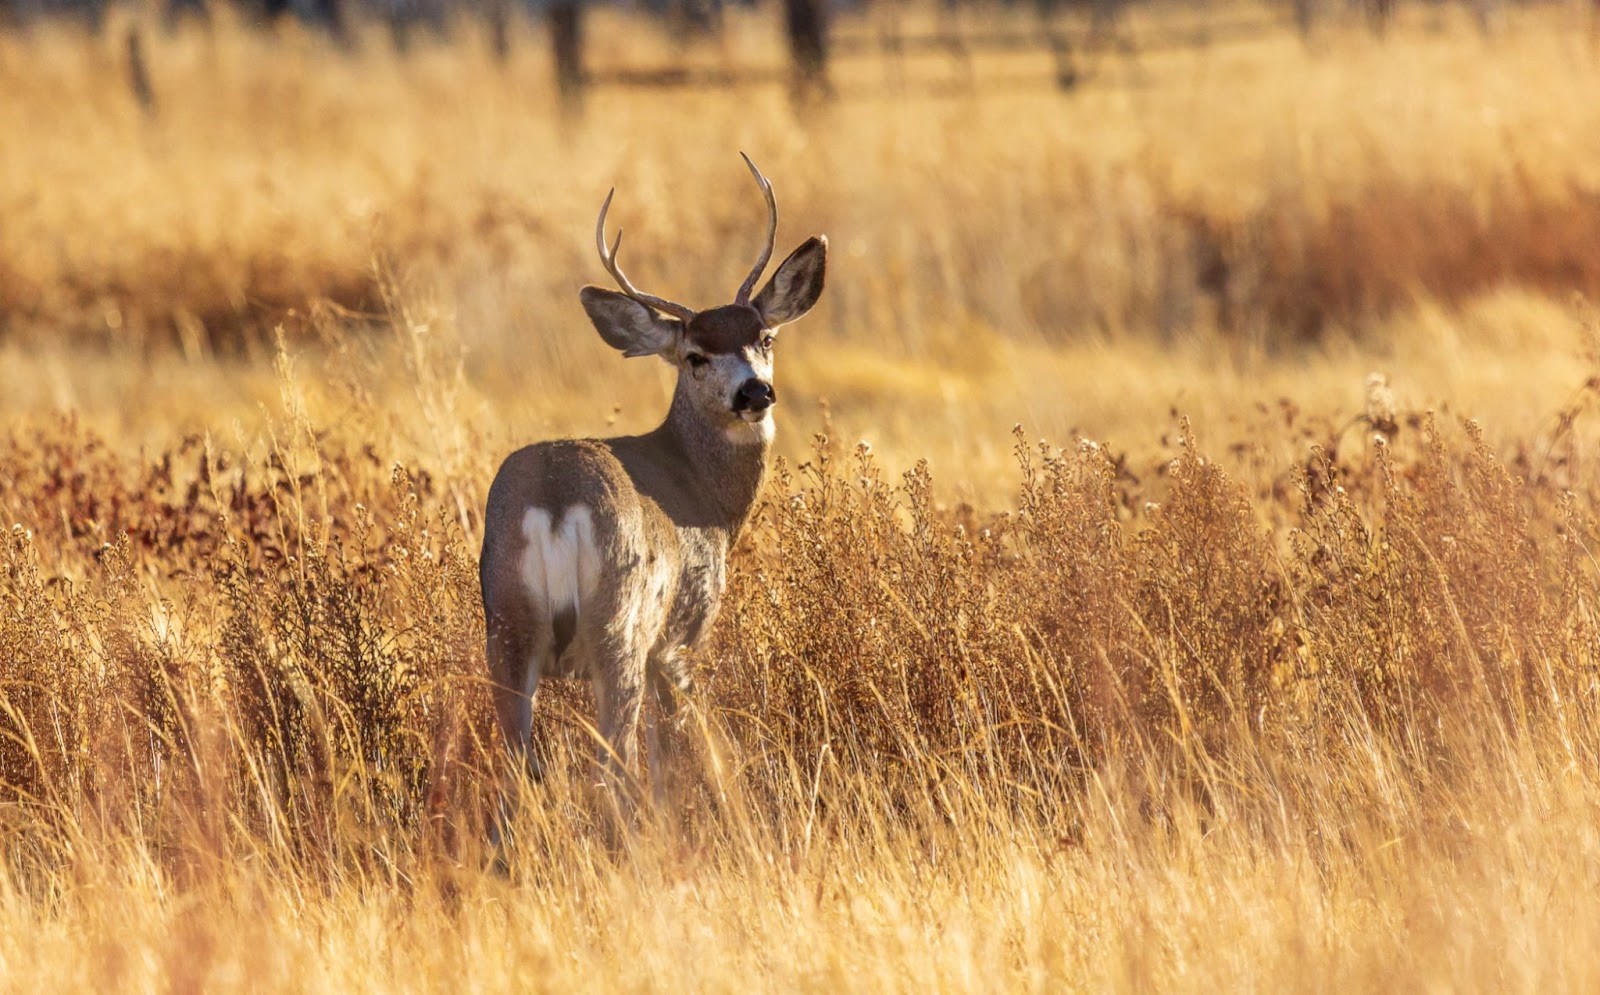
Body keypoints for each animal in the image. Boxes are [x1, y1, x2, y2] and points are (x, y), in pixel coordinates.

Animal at [473, 155, 825, 825]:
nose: (754, 392)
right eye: (694, 355)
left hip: (506, 621)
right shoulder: (682, 634)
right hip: (621, 626)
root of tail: (554, 504)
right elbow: (682, 747)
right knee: (615, 762)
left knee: (514, 763)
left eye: (765, 338)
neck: (706, 498)